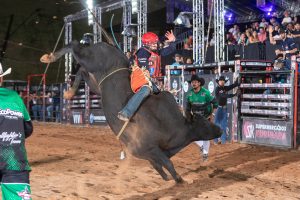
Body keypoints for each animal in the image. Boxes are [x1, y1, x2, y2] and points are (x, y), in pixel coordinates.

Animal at [43, 41, 223, 184]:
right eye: (203, 122)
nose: (220, 129)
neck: (175, 125)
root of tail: (105, 45)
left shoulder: (147, 153)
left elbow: (159, 167)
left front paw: (168, 179)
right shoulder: (150, 148)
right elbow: (168, 164)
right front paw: (179, 180)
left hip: (95, 82)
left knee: (81, 71)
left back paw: (69, 92)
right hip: (90, 60)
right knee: (74, 46)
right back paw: (49, 57)